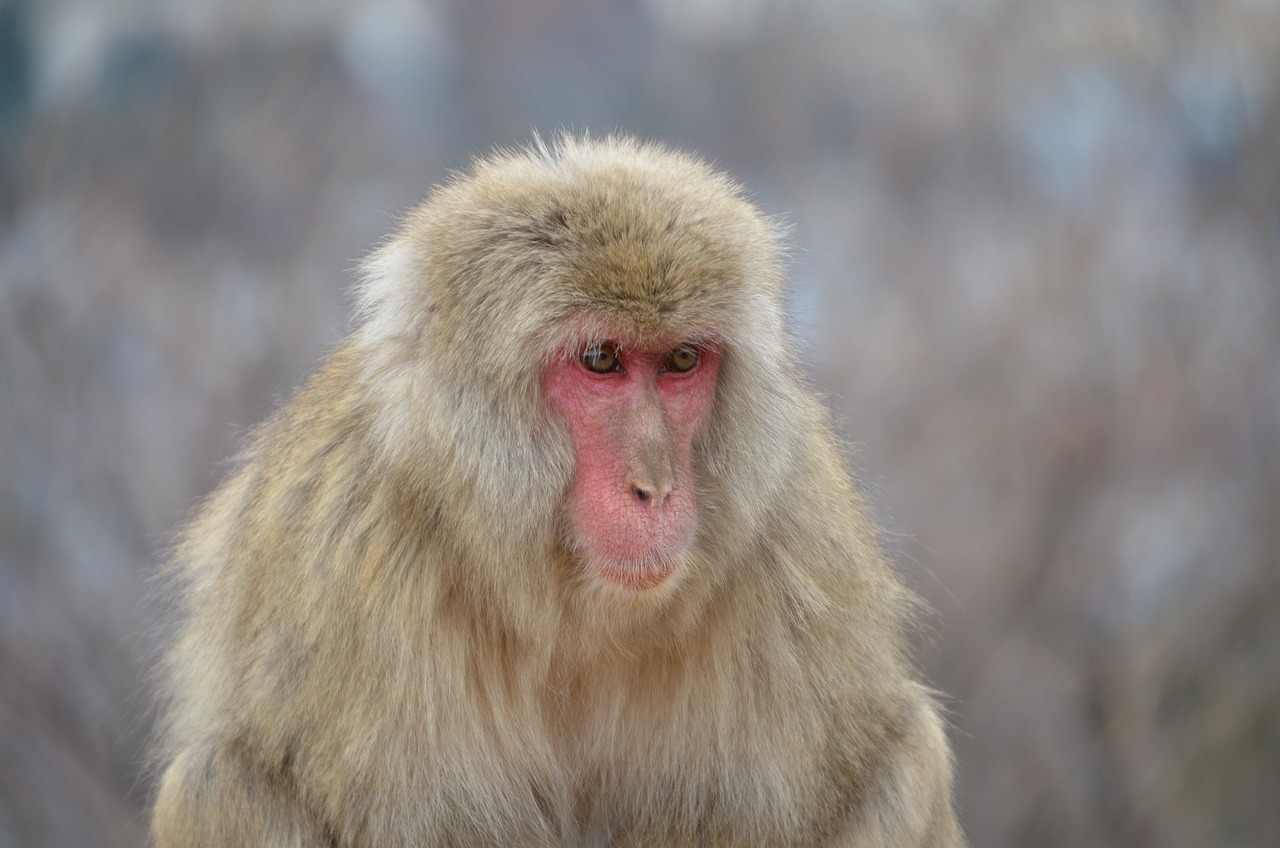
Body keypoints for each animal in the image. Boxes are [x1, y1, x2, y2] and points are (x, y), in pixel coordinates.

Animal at [152, 136, 962, 845]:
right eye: (601, 360)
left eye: (682, 360)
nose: (655, 487)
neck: (569, 605)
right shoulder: (349, 562)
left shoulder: (795, 536)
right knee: (217, 784)